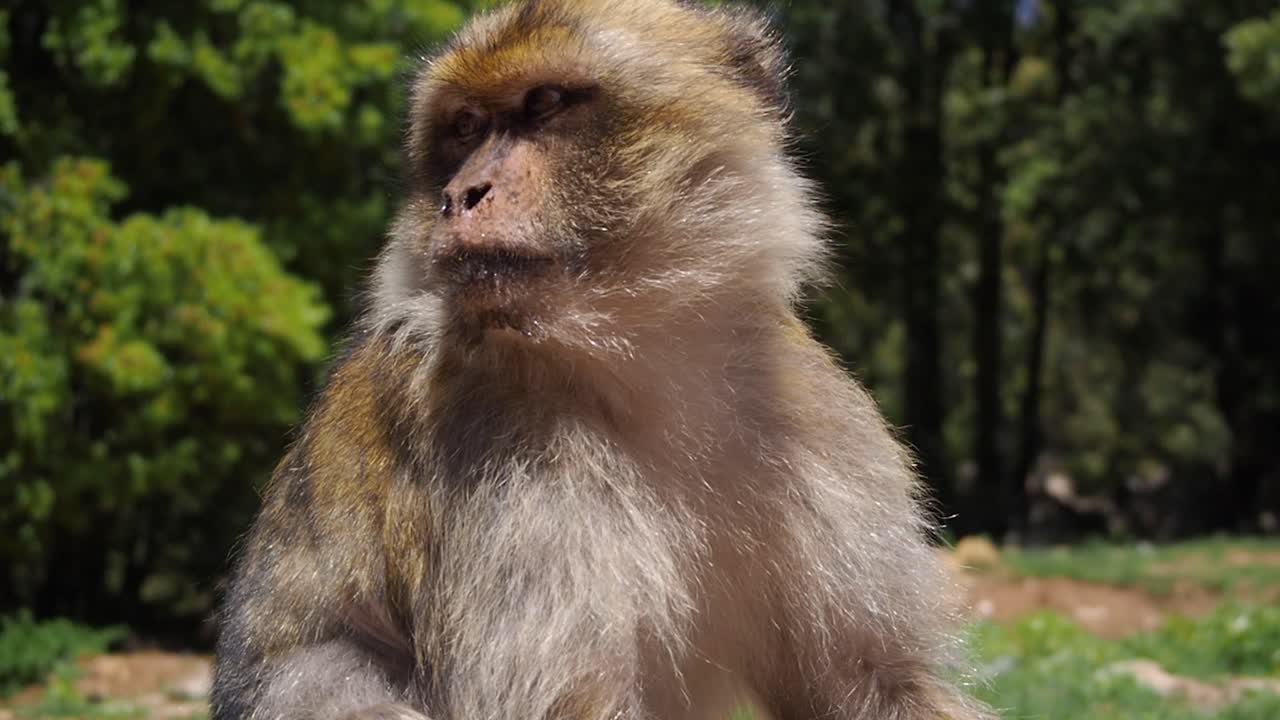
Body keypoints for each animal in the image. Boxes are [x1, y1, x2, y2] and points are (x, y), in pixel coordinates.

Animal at [210, 1, 991, 719]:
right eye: (464, 128)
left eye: (544, 104)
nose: (460, 194)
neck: (642, 365)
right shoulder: (492, 445)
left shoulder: (815, 414)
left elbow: (880, 682)